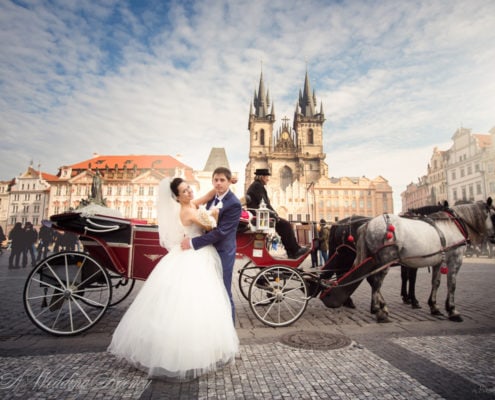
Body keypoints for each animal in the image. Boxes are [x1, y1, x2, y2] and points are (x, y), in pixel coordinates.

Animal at [354, 198, 494, 324]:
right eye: (494, 215)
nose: (493, 238)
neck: (452, 225)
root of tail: (368, 224)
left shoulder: (438, 262)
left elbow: (435, 282)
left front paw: (434, 306)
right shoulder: (455, 259)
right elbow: (451, 284)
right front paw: (452, 310)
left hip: (374, 260)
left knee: (372, 280)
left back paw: (381, 308)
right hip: (385, 259)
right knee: (376, 282)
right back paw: (379, 311)